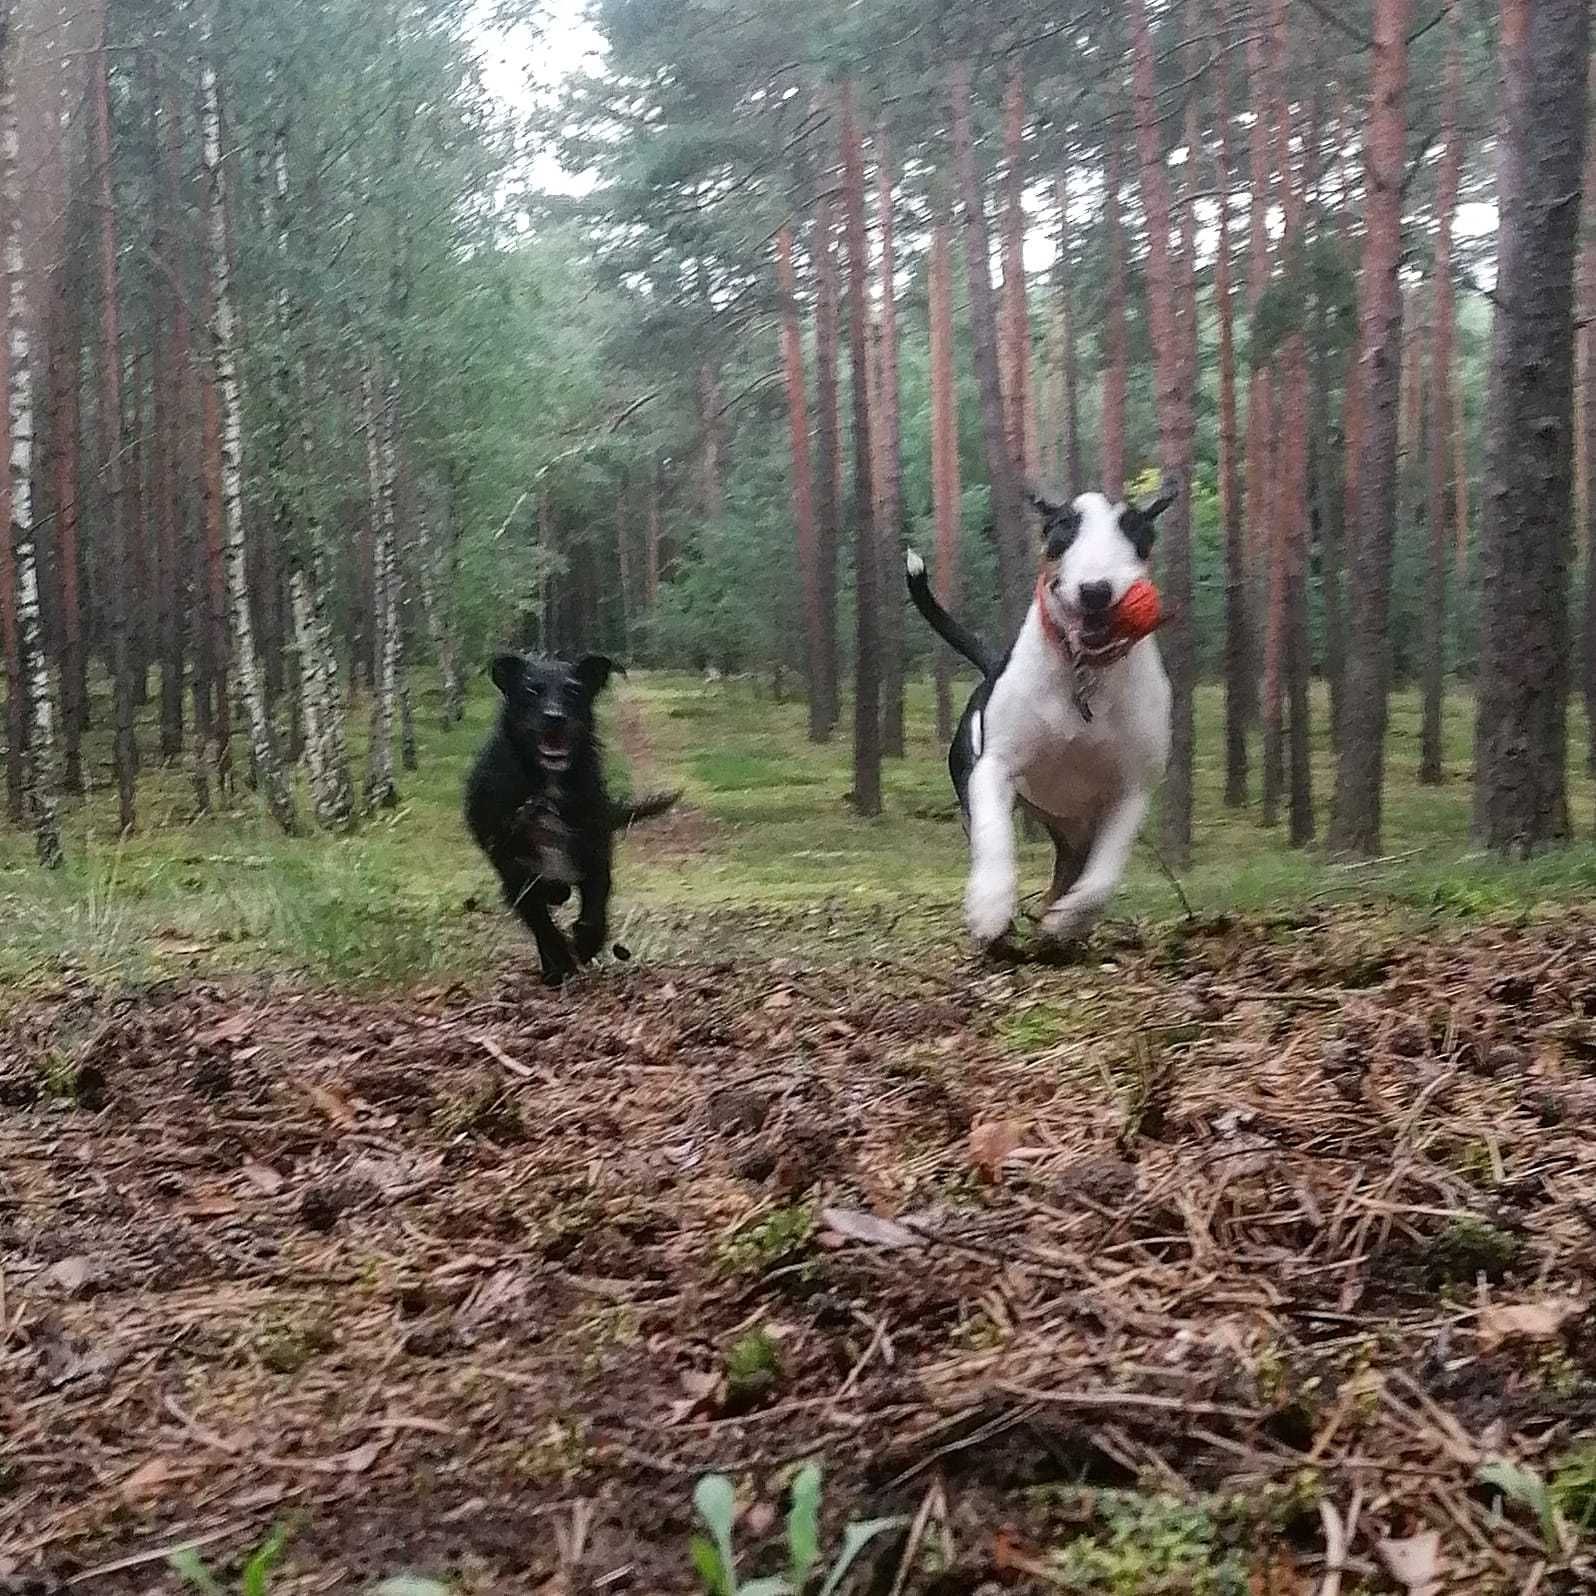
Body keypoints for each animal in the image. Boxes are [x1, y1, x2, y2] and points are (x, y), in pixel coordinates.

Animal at [466, 651, 679, 976]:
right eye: (531, 690)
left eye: (574, 690)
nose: (554, 717)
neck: (547, 787)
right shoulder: (513, 868)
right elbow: (541, 923)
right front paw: (560, 961)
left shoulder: (594, 848)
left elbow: (596, 902)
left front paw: (587, 941)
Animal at [912, 478, 1174, 938]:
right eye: (1063, 527)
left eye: (1136, 531)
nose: (1095, 590)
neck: (1082, 672)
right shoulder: (994, 768)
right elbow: (995, 836)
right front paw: (990, 907)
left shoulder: (1131, 791)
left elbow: (1102, 877)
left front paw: (1068, 920)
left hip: (1074, 827)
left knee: (1070, 871)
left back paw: (1052, 916)